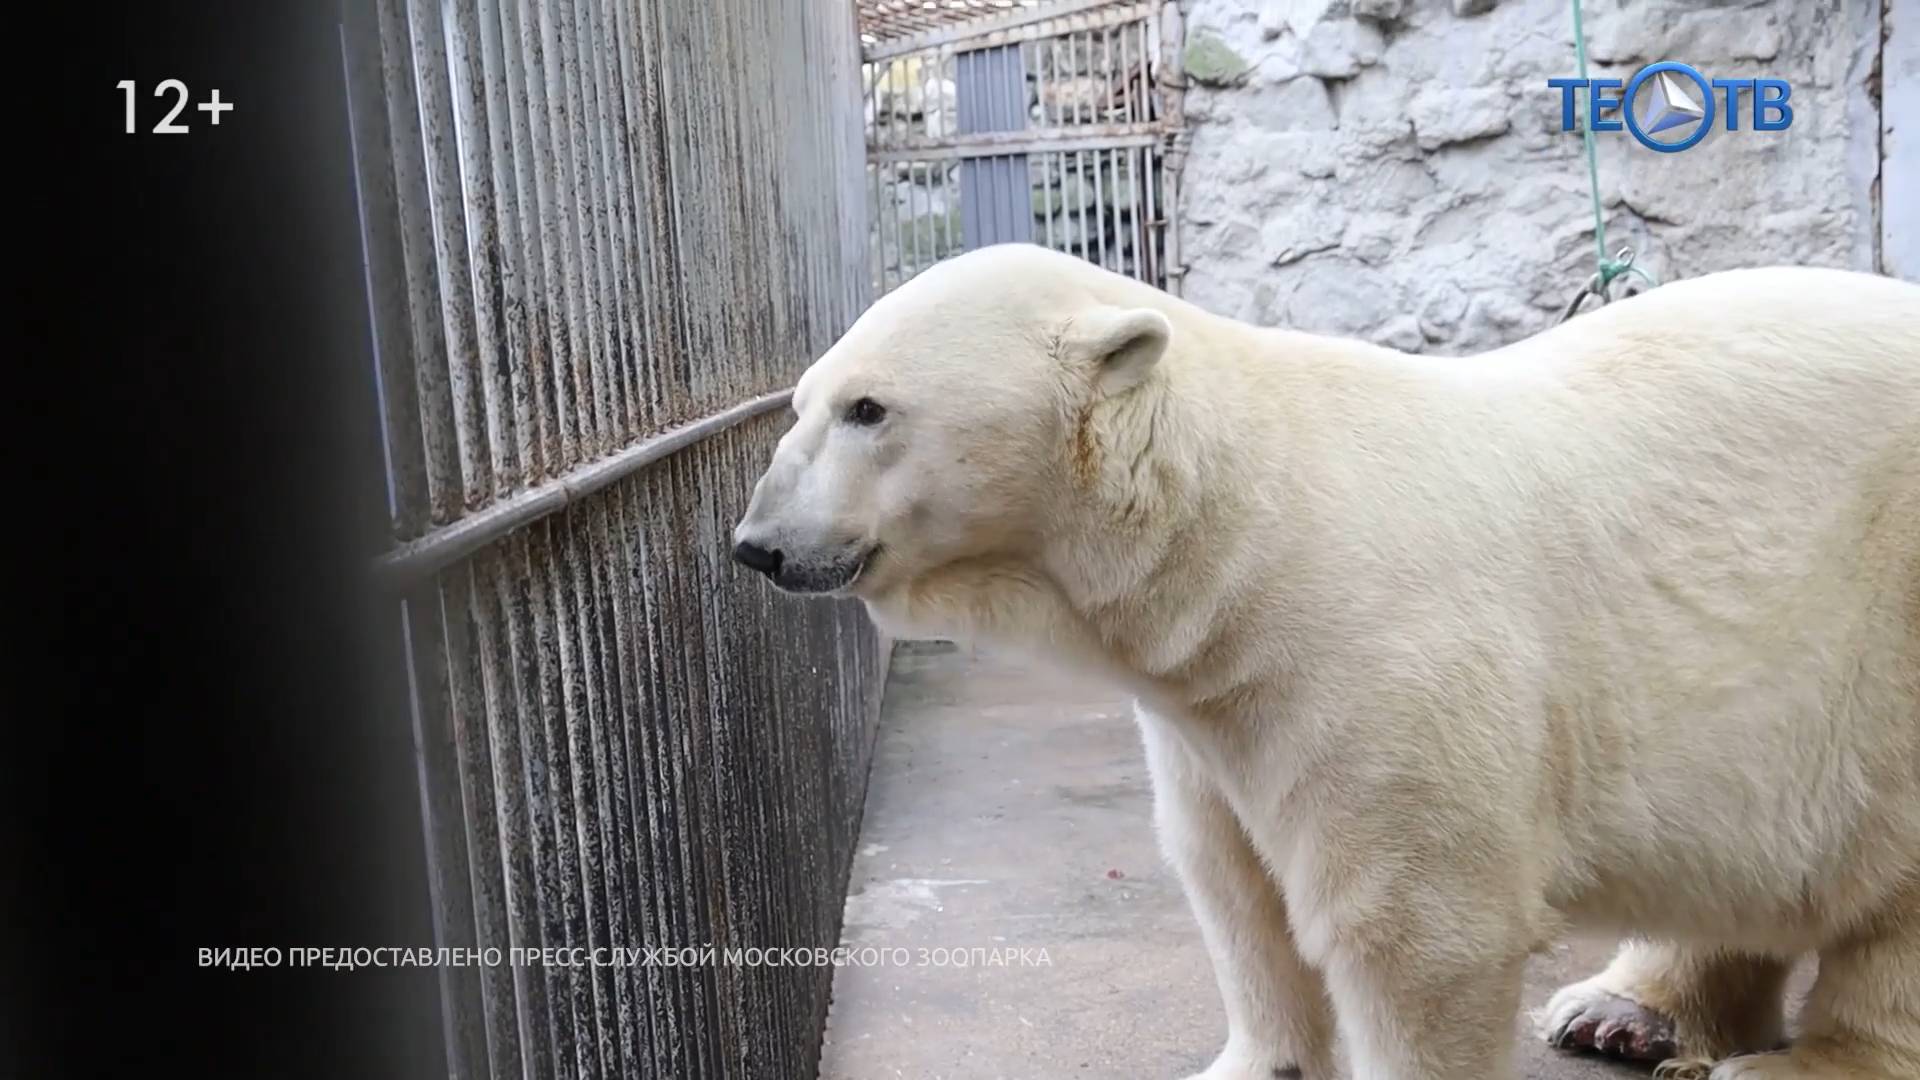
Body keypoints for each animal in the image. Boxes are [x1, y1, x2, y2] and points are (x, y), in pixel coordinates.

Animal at [725, 244, 1912, 1076]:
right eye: (803, 400)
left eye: (870, 408)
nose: (757, 545)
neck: (1244, 538)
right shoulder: (1208, 702)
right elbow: (1229, 882)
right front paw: (1253, 1063)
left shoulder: (1379, 662)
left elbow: (1416, 930)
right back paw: (1620, 1012)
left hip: (1881, 643)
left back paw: (1798, 1063)